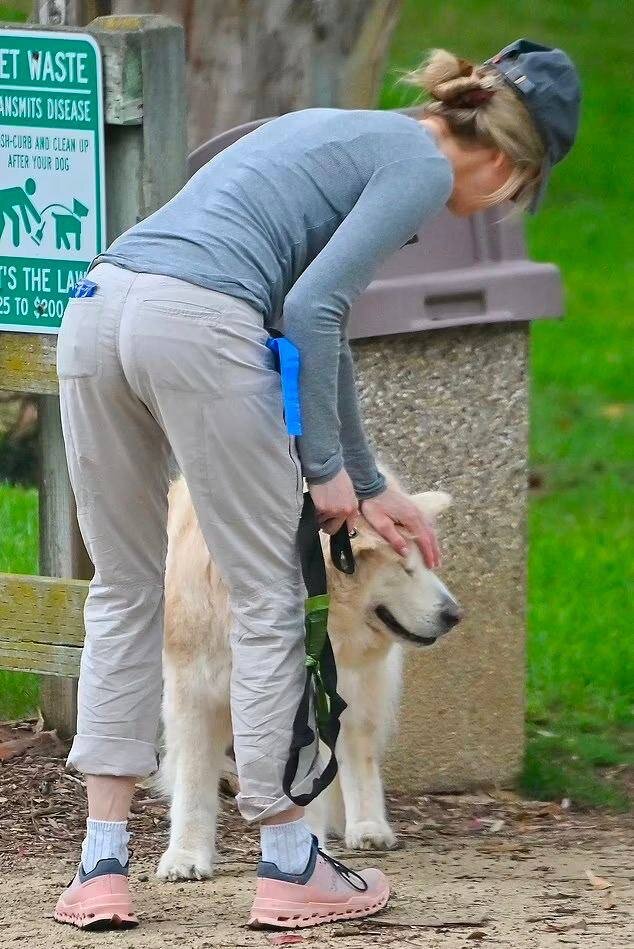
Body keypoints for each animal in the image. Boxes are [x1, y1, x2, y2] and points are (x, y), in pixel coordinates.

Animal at [155, 474, 456, 880]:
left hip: (354, 689)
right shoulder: (194, 692)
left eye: (424, 565)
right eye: (406, 568)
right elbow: (192, 779)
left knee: (357, 750)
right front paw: (186, 855)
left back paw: (367, 827)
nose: (454, 615)